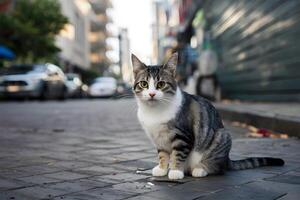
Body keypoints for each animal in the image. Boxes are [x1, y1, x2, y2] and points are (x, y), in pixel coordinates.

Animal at [131, 52, 284, 180]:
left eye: (161, 84)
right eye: (144, 84)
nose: (151, 94)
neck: (153, 112)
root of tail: (227, 159)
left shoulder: (183, 136)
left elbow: (177, 155)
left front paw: (175, 171)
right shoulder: (159, 139)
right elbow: (162, 155)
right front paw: (162, 169)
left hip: (221, 137)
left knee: (218, 168)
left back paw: (200, 169)